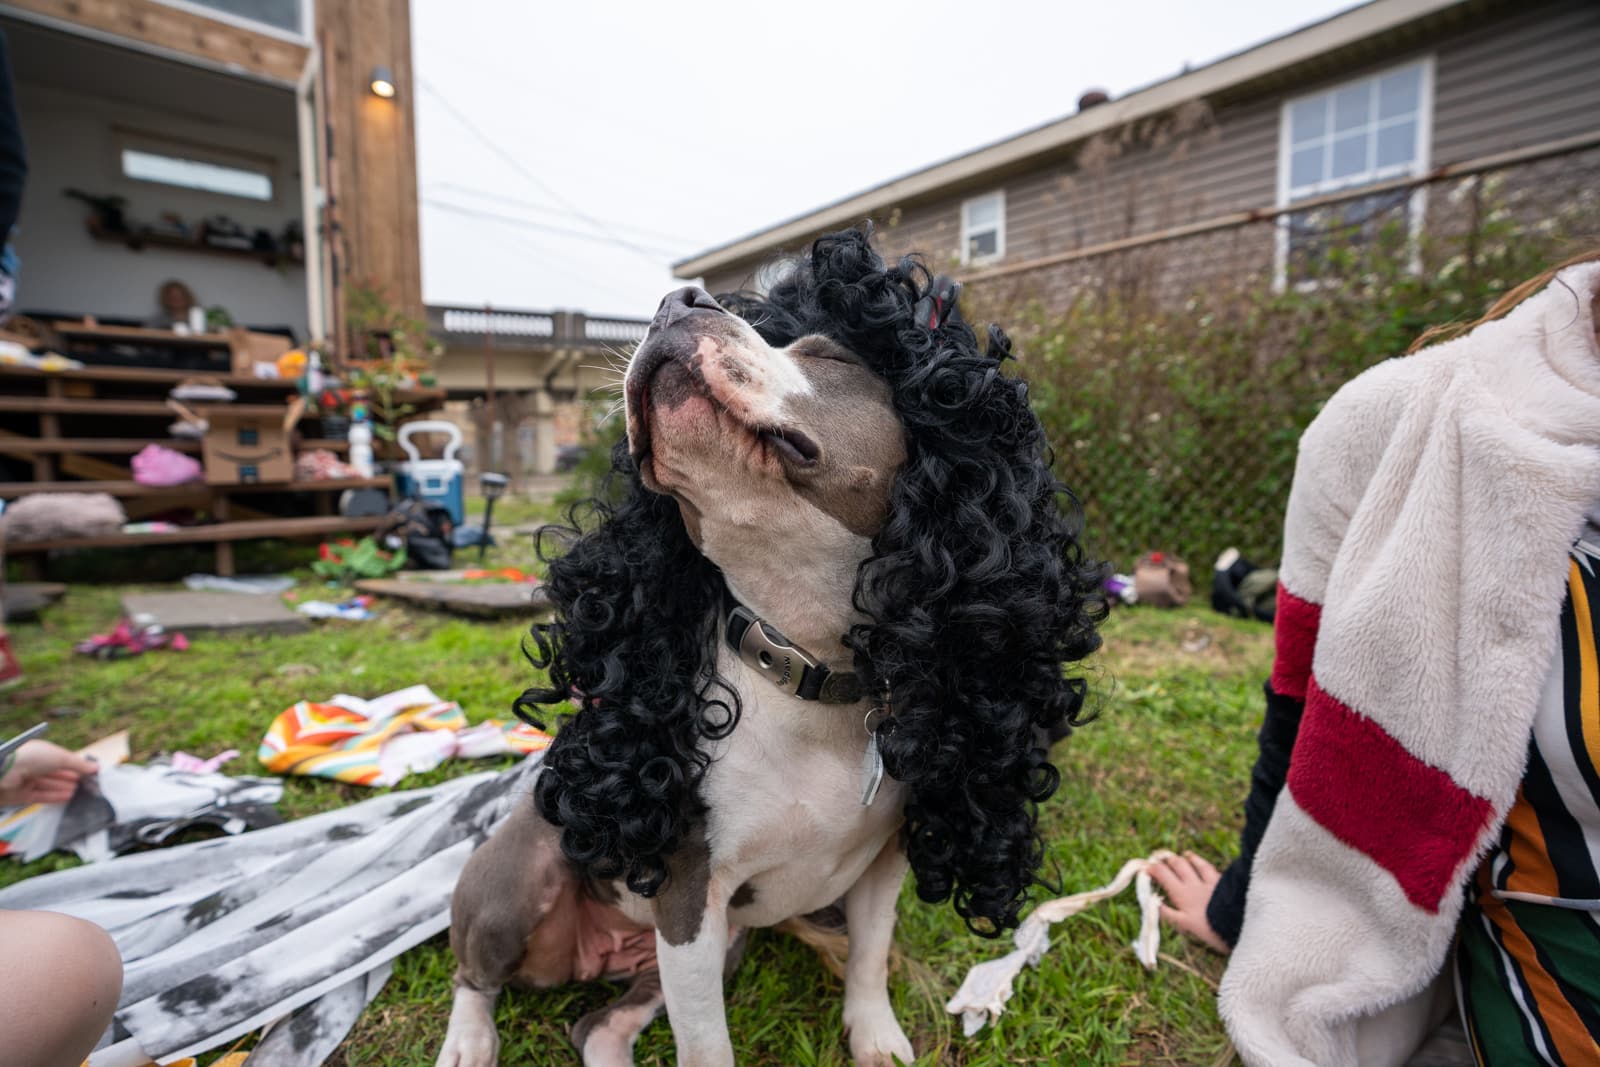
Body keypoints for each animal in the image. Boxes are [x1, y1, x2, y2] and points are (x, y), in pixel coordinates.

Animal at [438, 227, 1113, 1067]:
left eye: (829, 358)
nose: (677, 301)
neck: (815, 664)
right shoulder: (691, 899)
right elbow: (706, 1045)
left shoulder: (878, 867)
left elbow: (869, 953)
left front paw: (875, 1034)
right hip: (514, 888)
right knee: (474, 974)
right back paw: (467, 1039)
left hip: (703, 953)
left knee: (597, 1027)